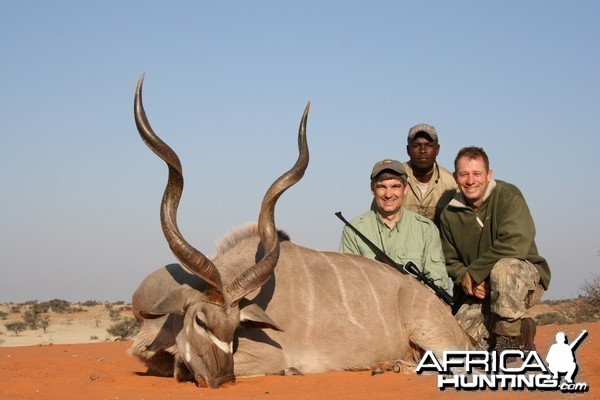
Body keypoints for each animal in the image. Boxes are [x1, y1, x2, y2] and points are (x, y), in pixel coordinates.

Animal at [130, 76, 474, 390]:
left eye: (235, 326)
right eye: (201, 320)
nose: (222, 380)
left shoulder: (267, 355)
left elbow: (182, 367)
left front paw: (291, 371)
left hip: (433, 336)